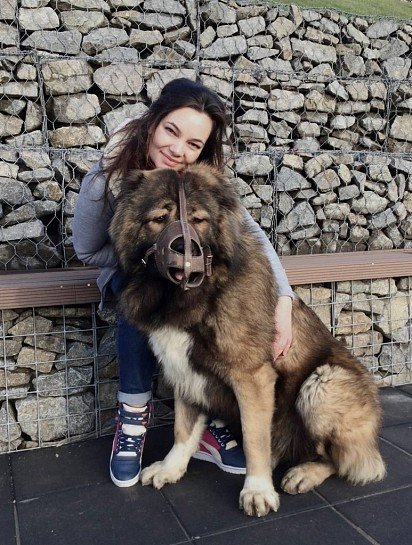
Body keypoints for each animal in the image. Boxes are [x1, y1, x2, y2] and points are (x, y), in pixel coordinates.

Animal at [109, 165, 386, 516]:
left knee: (341, 459)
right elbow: (182, 430)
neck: (196, 299)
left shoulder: (253, 378)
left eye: (198, 219)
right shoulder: (183, 372)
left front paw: (257, 490)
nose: (184, 252)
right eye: (160, 218)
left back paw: (304, 472)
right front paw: (171, 469)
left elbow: (255, 439)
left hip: (324, 383)